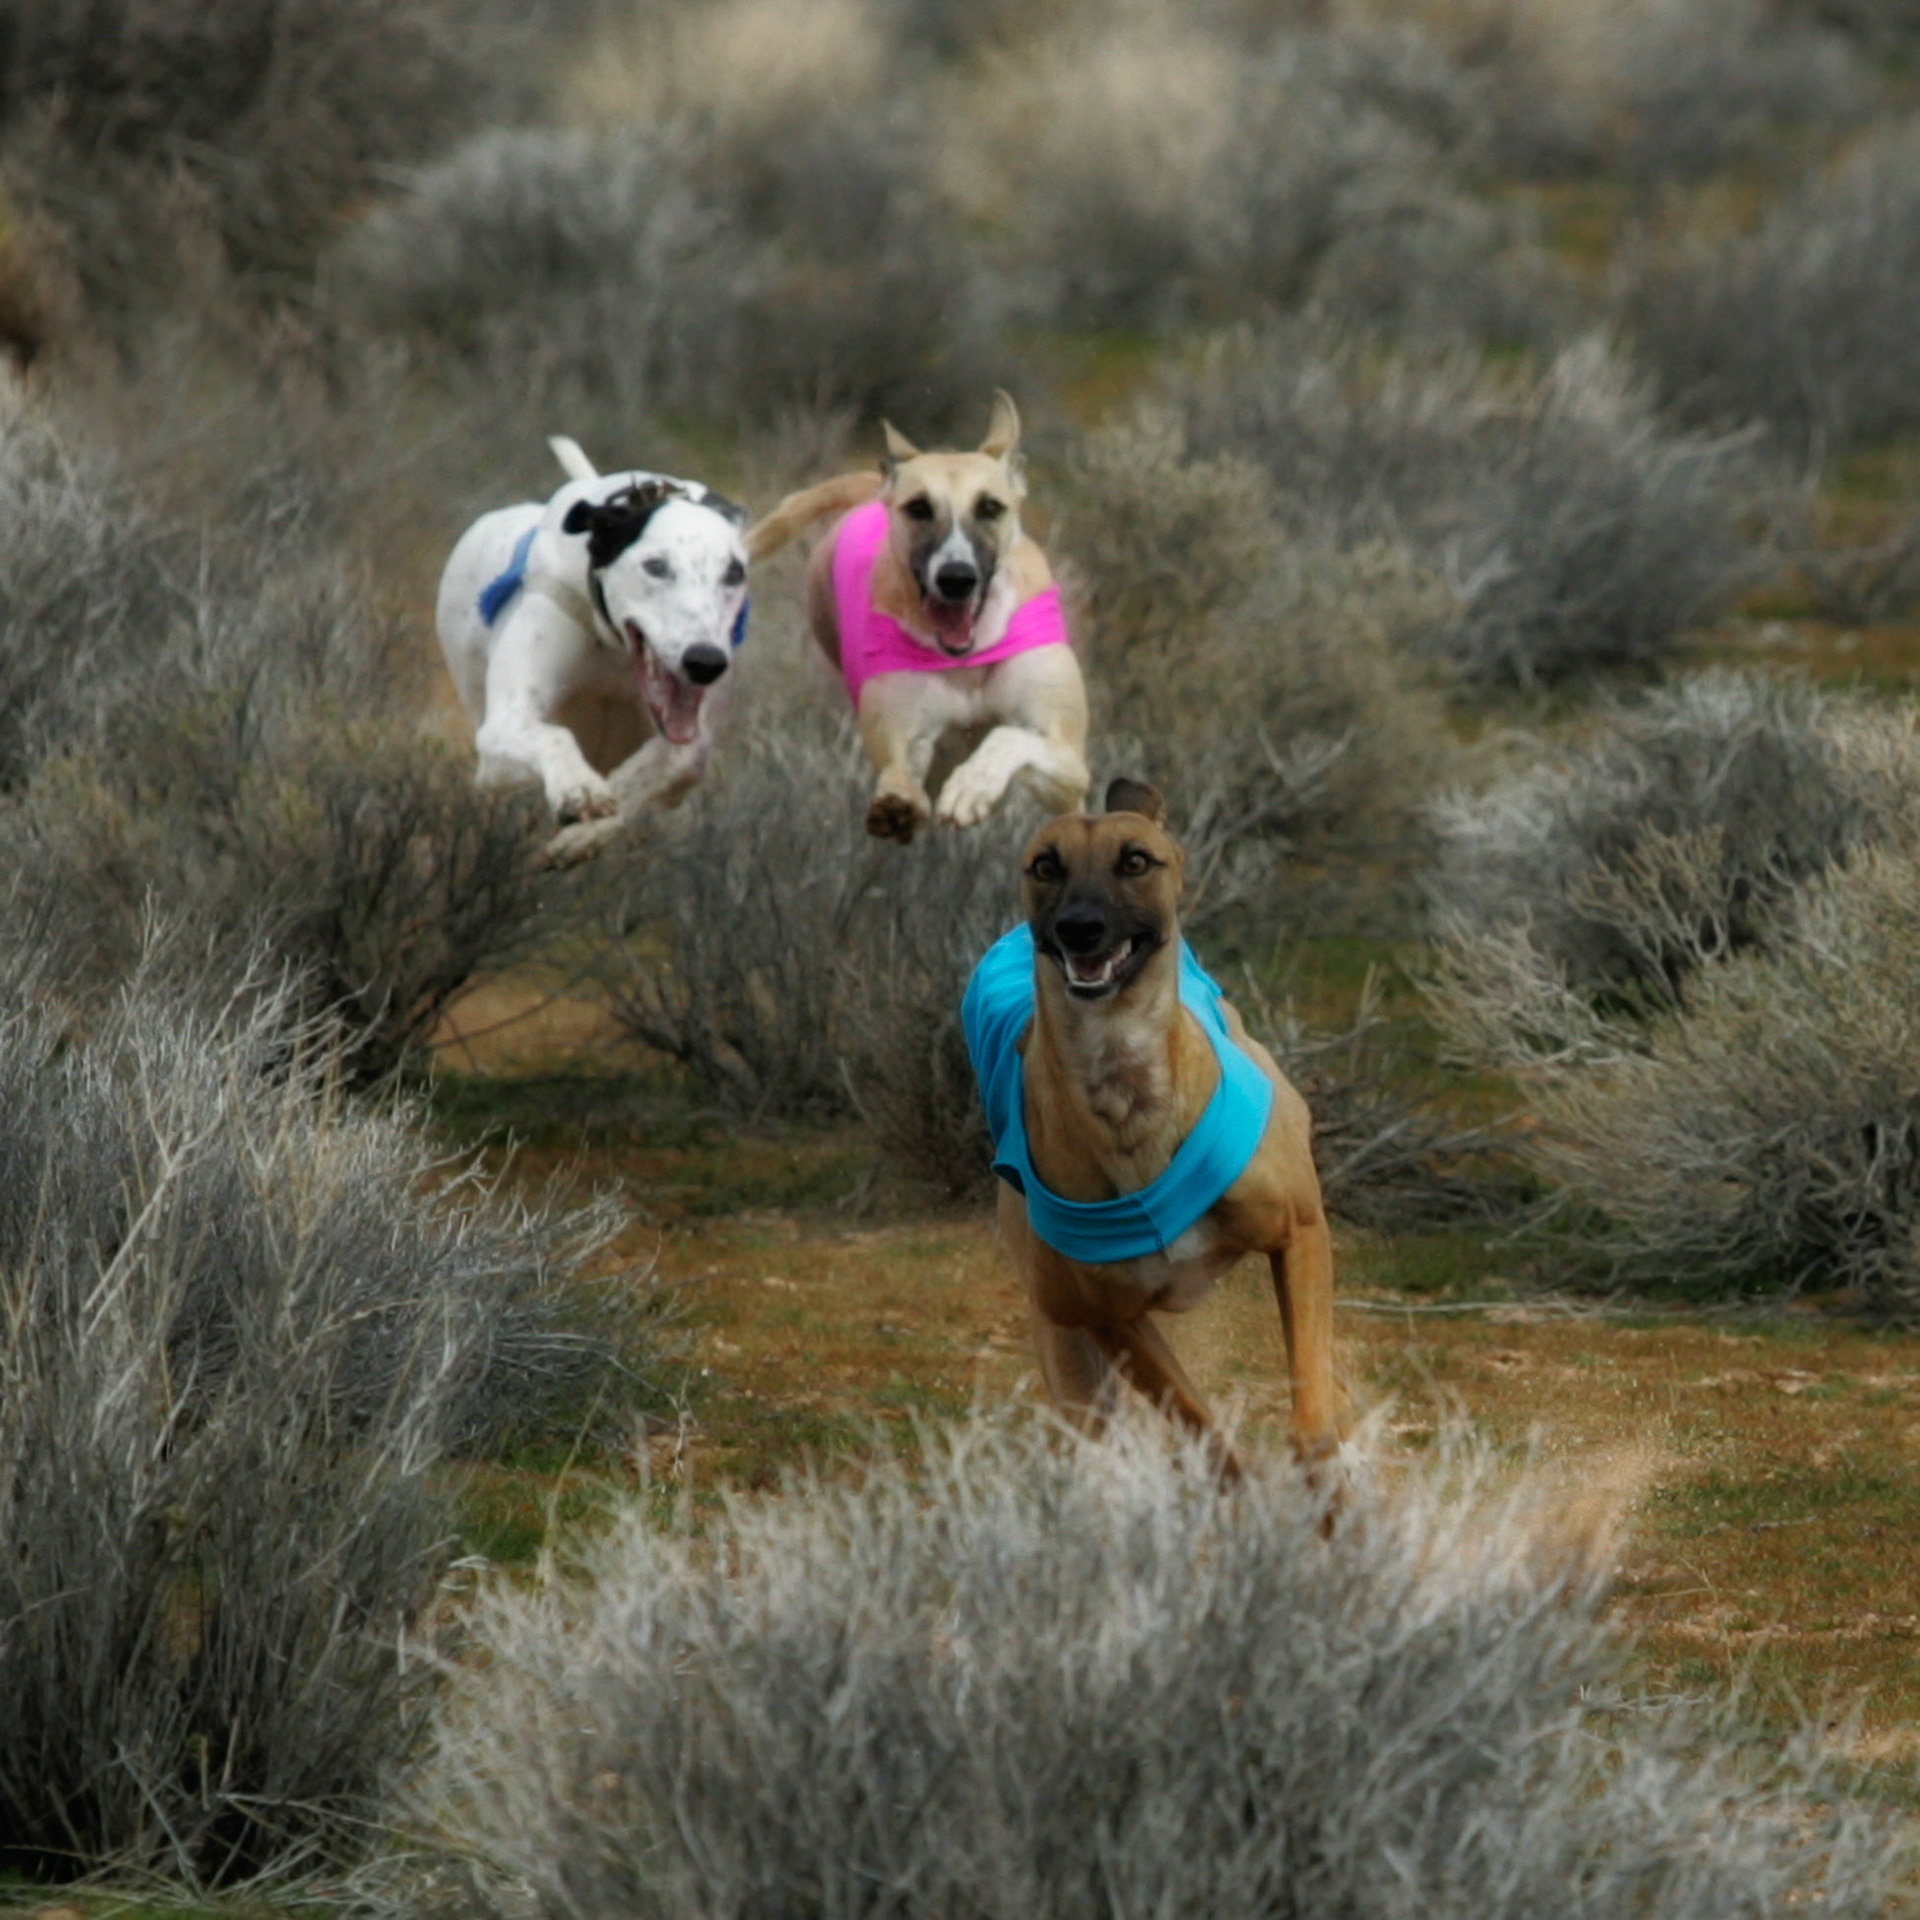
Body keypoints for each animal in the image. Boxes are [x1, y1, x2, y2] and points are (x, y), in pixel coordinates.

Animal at [436, 437, 752, 865]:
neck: (615, 652)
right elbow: (552, 736)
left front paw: (588, 830)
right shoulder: (503, 725)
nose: (705, 661)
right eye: (655, 566)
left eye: (735, 573)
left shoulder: (692, 738)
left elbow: (677, 761)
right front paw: (578, 789)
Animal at [746, 390, 1089, 842]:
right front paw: (900, 807)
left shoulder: (1069, 766)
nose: (956, 578)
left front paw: (973, 786)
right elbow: (902, 771)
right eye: (919, 508)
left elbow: (1010, 737)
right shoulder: (902, 737)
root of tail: (872, 490)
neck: (967, 659)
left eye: (990, 507)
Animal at [963, 779, 1342, 1479]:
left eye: (1136, 860)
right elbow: (1207, 1436)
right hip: (1067, 1346)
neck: (1125, 1090)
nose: (1080, 928)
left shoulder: (1301, 1235)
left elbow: (1311, 1418)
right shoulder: (1110, 1322)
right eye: (1045, 865)